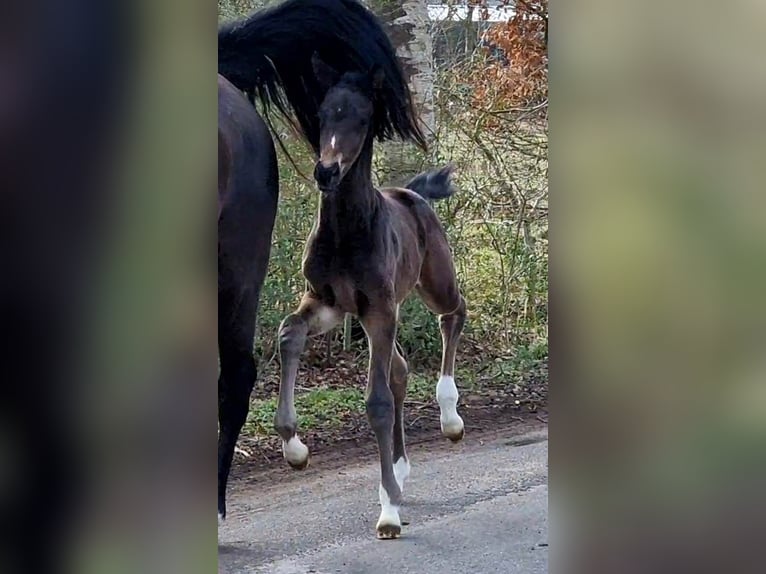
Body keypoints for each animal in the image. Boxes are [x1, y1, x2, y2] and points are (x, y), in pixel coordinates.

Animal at [276, 57, 468, 540]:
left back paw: (450, 417)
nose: (326, 171)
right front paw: (294, 447)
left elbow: (376, 401)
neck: (347, 231)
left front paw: (388, 513)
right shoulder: (329, 302)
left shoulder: (379, 308)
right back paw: (399, 468)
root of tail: (412, 191)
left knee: (454, 313)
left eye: (362, 118)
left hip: (433, 283)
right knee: (399, 369)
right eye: (323, 114)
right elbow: (289, 333)